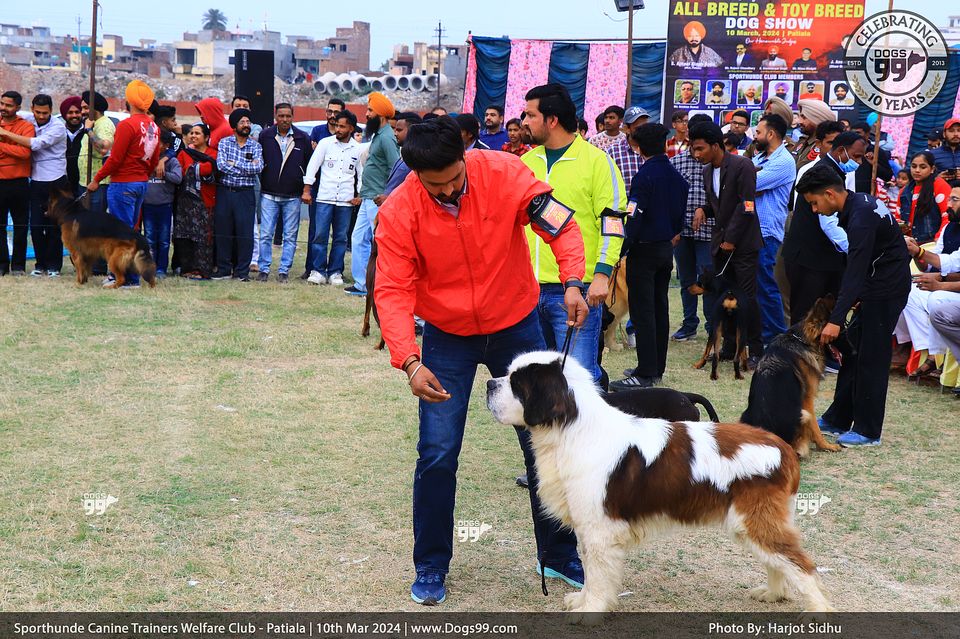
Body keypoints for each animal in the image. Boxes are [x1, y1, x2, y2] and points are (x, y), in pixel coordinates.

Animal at [486, 352, 833, 615]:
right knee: (779, 560)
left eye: (517, 384)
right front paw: (581, 600)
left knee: (801, 564)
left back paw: (818, 613)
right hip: (750, 522)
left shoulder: (600, 529)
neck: (572, 428)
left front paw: (590, 610)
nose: (489, 383)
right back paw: (772, 594)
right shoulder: (588, 526)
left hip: (757, 520)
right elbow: (589, 569)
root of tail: (782, 447)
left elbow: (598, 575)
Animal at [739, 296, 842, 458]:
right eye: (840, 335)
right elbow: (816, 427)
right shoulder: (807, 400)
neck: (800, 340)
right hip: (803, 414)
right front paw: (825, 445)